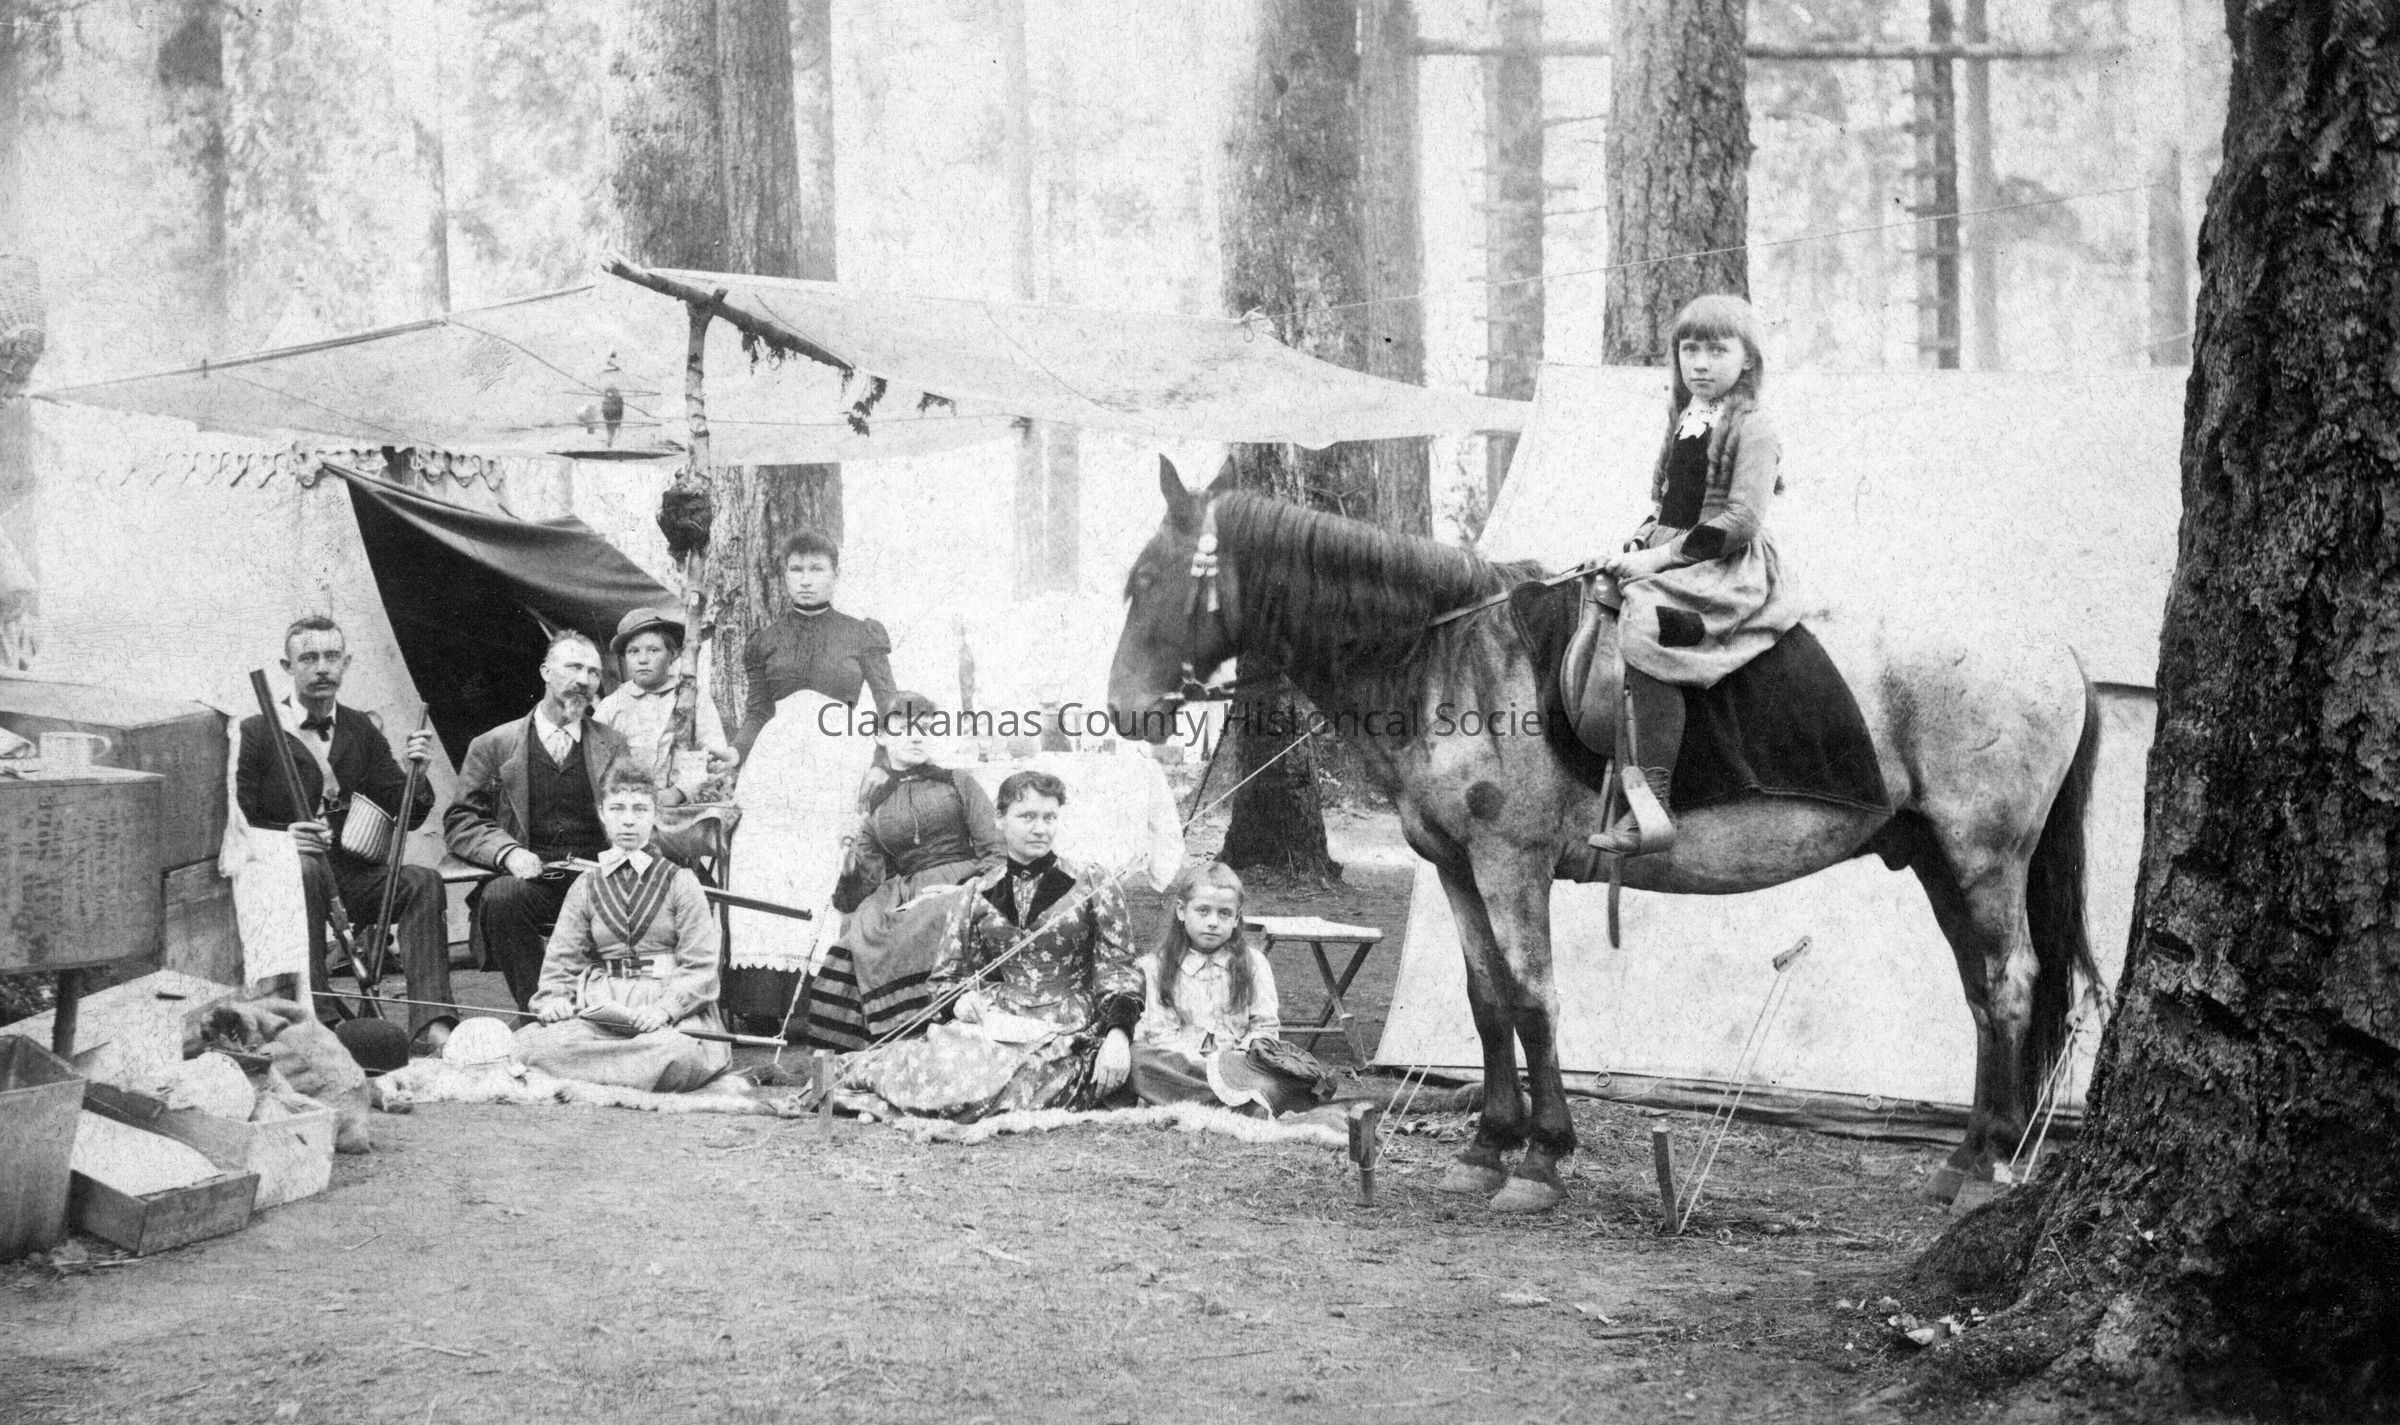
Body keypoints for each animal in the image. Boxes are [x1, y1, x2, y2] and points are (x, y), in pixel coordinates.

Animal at [1108, 460, 2098, 1213]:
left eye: (1151, 582)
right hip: (1938, 860)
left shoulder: (1512, 867)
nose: (1125, 710)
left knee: (2010, 983)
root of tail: (2059, 655)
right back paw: (1969, 1153)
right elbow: (1487, 1000)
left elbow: (1535, 1000)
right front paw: (1488, 1146)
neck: (1447, 658)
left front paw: (1543, 1157)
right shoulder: (1460, 869)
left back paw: (1986, 1161)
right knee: (1980, 992)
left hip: (1985, 857)